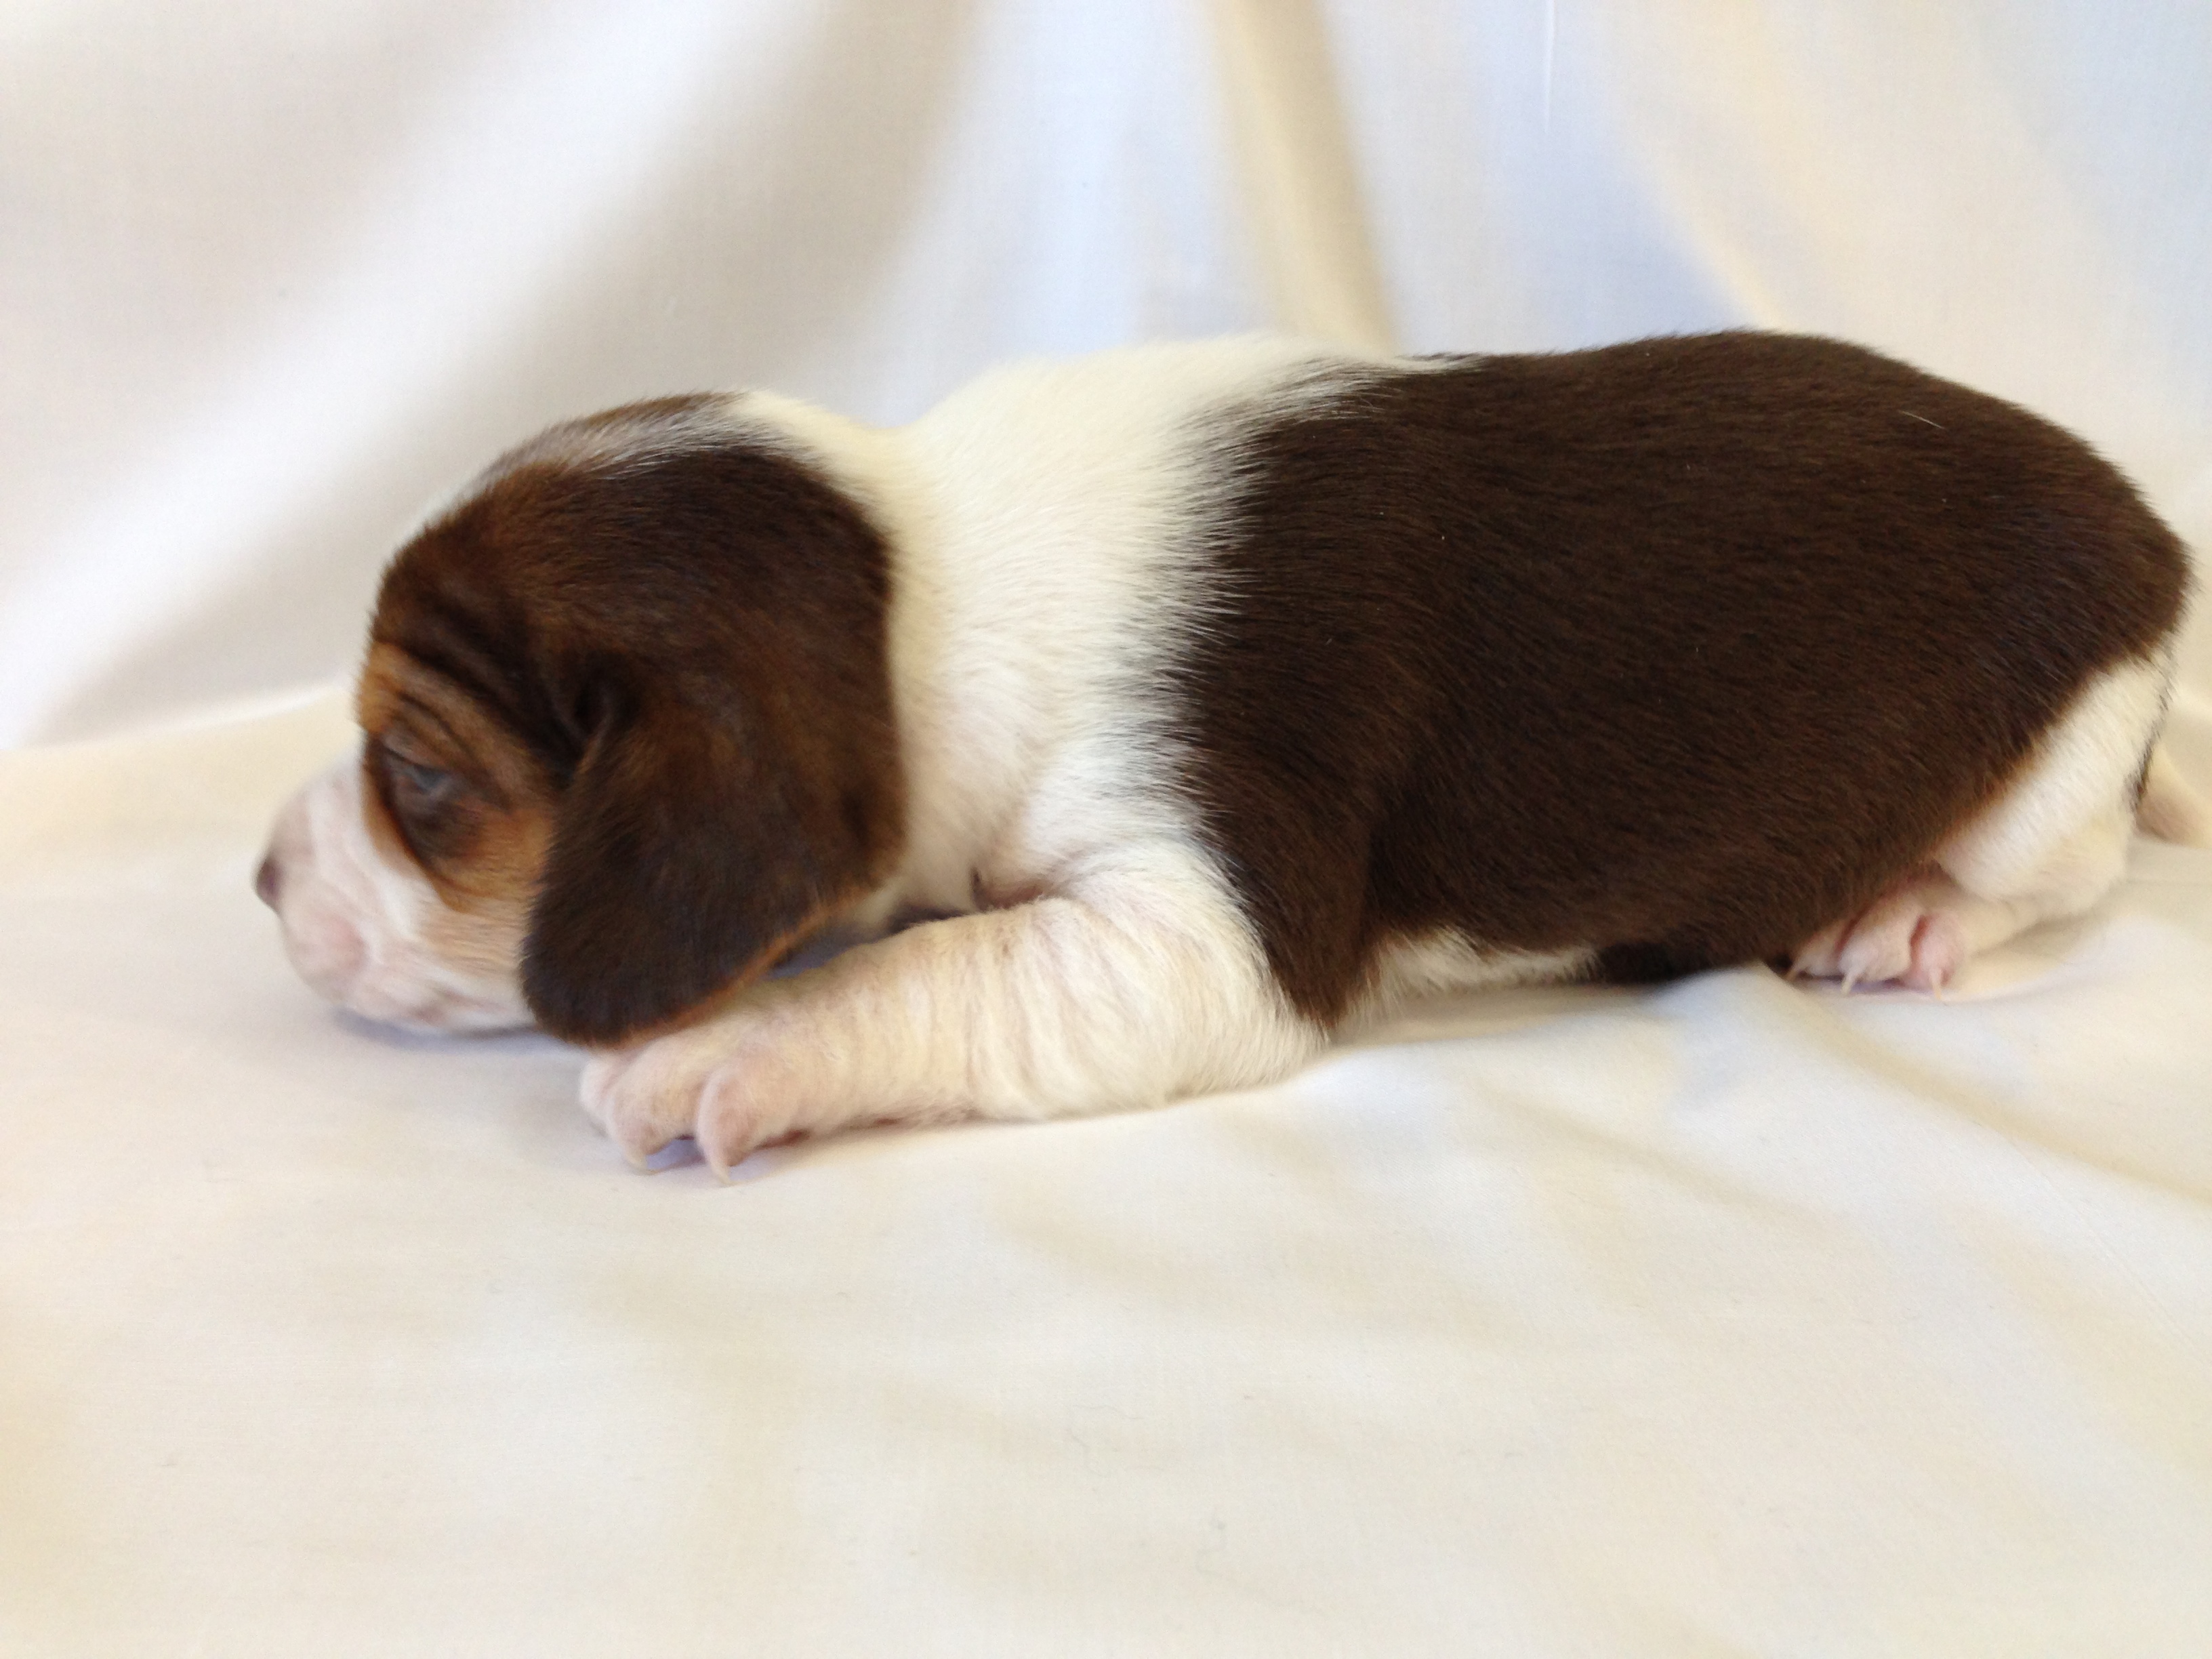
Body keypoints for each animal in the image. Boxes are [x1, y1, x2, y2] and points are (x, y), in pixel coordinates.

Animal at [258, 332, 2200, 1174]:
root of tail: (2144, 534)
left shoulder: (1196, 925)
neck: (916, 582)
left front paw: (721, 1046)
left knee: (2063, 871)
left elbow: (928, 967)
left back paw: (1909, 912)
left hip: (2053, 765)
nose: (265, 881)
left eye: (420, 778)